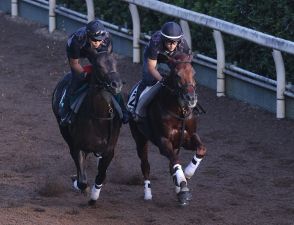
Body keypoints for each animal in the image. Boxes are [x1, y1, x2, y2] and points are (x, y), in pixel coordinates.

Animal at [51, 51, 121, 206]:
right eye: (99, 65)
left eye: (116, 62)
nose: (116, 84)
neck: (98, 116)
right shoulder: (78, 146)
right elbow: (82, 181)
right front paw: (80, 184)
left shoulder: (109, 150)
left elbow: (101, 175)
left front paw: (94, 196)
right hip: (64, 131)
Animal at [129, 52, 207, 206]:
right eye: (177, 75)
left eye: (194, 73)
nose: (191, 98)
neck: (179, 112)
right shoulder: (163, 141)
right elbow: (175, 161)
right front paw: (183, 183)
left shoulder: (188, 137)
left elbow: (201, 149)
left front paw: (187, 174)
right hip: (139, 138)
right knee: (145, 165)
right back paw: (148, 194)